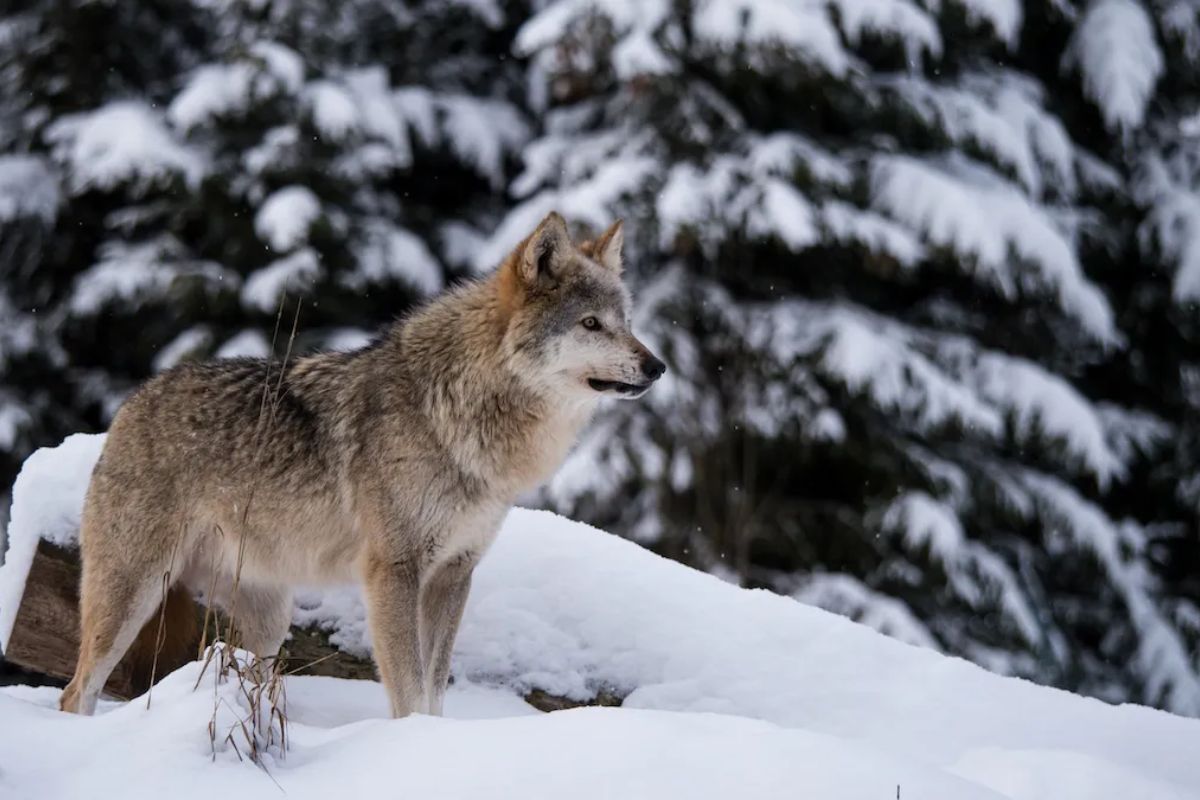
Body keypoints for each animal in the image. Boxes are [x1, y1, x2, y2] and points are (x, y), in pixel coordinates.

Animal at [59, 212, 664, 717]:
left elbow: (435, 688)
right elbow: (411, 690)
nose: (657, 366)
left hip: (268, 619)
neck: (456, 411)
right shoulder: (393, 571)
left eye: (626, 320)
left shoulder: (454, 573)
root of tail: (132, 403)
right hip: (134, 594)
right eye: (591, 323)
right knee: (76, 690)